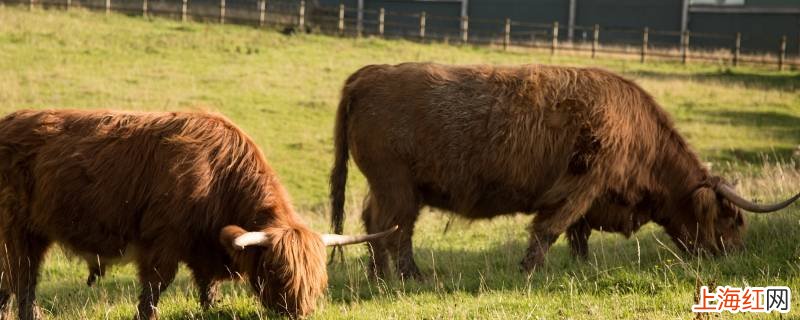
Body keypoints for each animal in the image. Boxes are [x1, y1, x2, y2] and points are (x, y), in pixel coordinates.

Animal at [0, 110, 396, 320]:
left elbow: (208, 285)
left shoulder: (205, 246)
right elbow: (155, 287)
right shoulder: (161, 242)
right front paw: (148, 315)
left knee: (15, 278)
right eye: (277, 272)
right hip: (16, 229)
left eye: (319, 280)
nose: (299, 313)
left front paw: (210, 307)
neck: (218, 175)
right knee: (22, 276)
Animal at [330, 62, 800, 278]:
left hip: (388, 187)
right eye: (732, 219)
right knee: (395, 229)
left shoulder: (590, 195)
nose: (736, 255)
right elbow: (551, 227)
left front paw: (580, 266)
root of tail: (368, 74)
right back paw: (410, 276)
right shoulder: (582, 183)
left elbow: (577, 233)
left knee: (374, 224)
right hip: (397, 186)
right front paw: (530, 270)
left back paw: (380, 275)